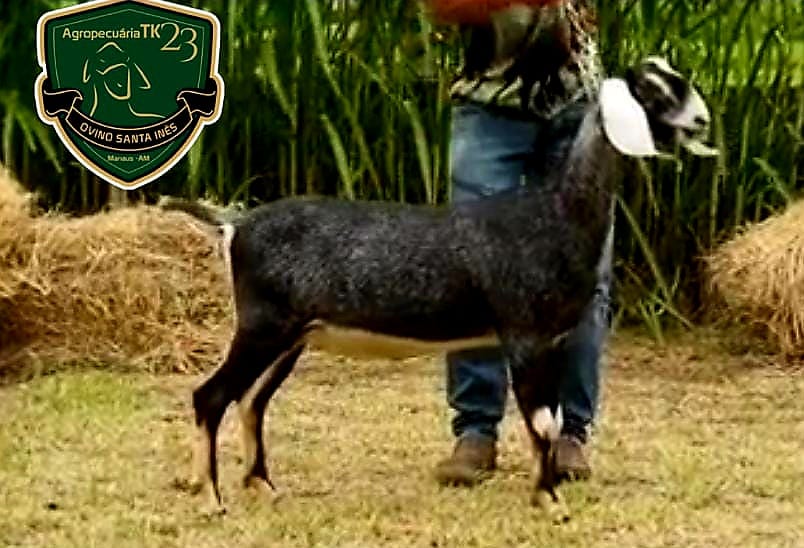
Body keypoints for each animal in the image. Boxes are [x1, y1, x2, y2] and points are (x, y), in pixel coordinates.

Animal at [162, 56, 716, 519]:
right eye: (652, 89)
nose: (702, 121)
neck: (552, 214)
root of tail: (235, 224)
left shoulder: (554, 340)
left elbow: (555, 422)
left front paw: (548, 490)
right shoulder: (524, 335)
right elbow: (541, 422)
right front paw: (552, 503)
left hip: (290, 336)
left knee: (252, 401)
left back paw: (261, 486)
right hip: (262, 326)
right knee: (211, 396)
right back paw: (211, 498)